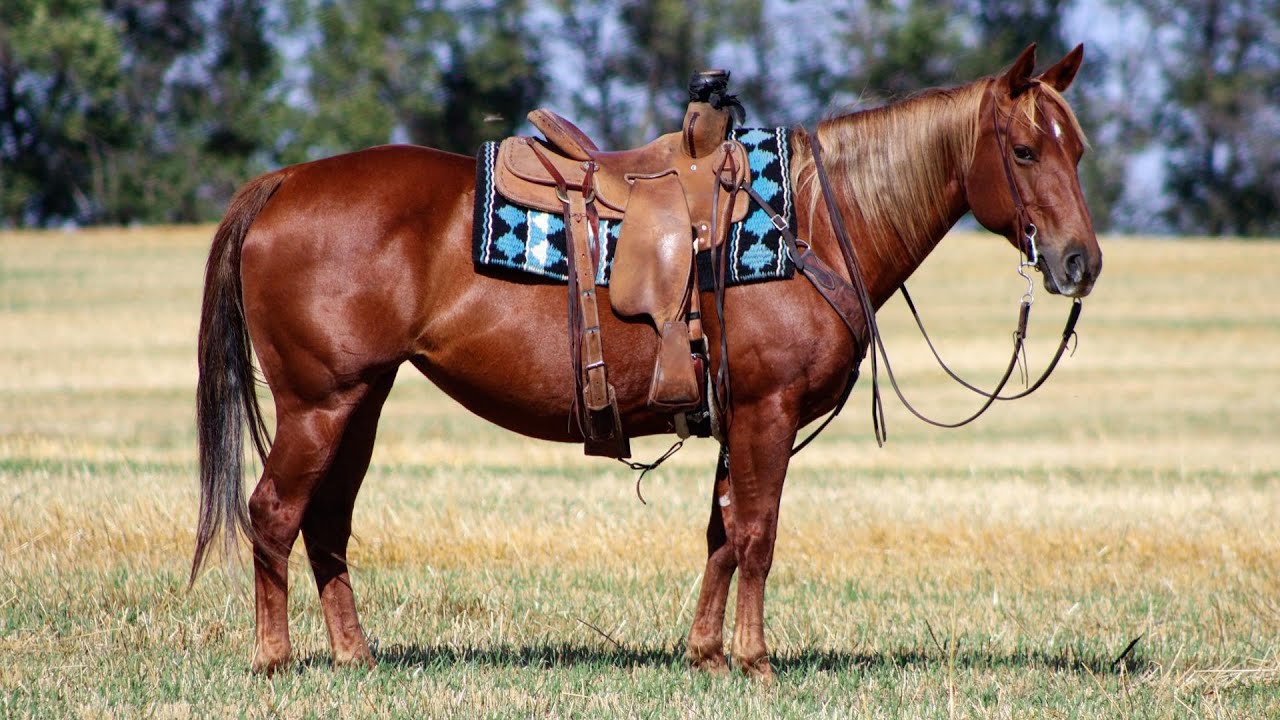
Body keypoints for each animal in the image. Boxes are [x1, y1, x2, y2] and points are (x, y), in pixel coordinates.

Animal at [191, 44, 1102, 680]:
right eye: (1026, 152)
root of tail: (283, 180)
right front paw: (756, 661)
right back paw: (273, 659)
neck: (806, 220)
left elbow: (722, 535)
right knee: (273, 512)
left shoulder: (737, 417)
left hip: (361, 401)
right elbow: (758, 535)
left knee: (326, 522)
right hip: (320, 402)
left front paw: (707, 655)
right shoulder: (766, 412)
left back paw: (355, 656)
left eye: (1080, 150)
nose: (1079, 263)